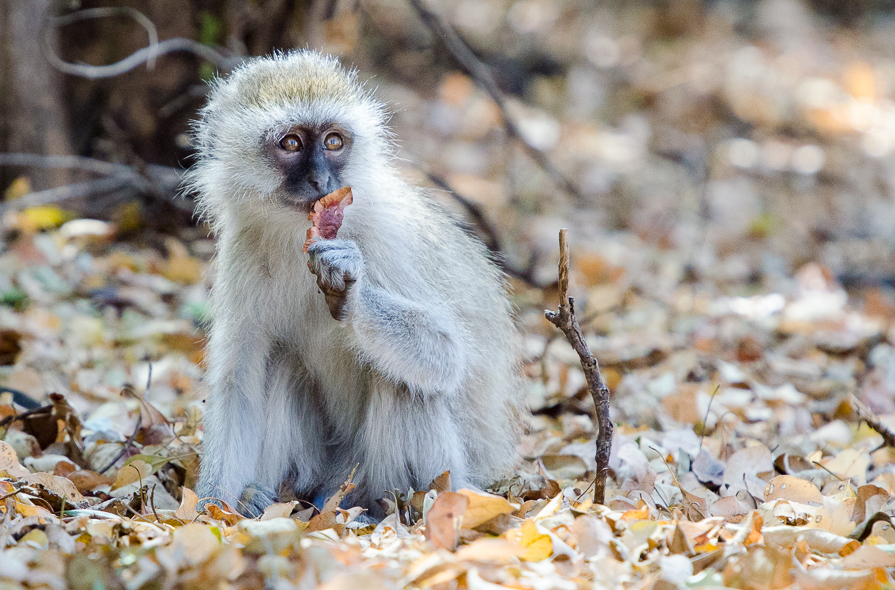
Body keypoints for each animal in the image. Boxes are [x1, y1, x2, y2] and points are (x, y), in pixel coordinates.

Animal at [188, 49, 520, 520]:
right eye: (291, 143)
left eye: (333, 142)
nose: (320, 181)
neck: (296, 236)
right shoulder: (242, 249)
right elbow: (240, 386)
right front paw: (211, 510)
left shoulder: (390, 238)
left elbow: (446, 356)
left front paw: (352, 292)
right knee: (282, 362)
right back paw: (262, 495)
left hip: (401, 471)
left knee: (407, 383)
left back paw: (403, 507)